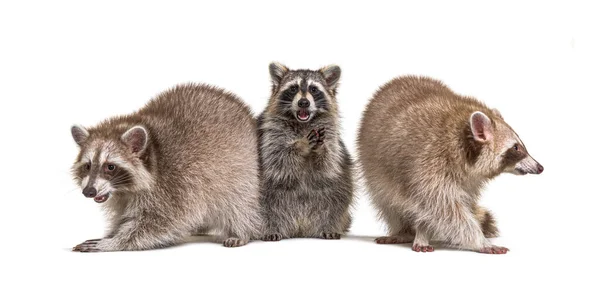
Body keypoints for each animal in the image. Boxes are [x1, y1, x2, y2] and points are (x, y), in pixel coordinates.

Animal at [69, 84, 262, 252]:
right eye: (88, 166)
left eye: (110, 167)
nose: (88, 191)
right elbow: (124, 216)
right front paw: (112, 233)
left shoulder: (176, 183)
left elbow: (161, 222)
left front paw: (115, 242)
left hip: (241, 169)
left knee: (238, 202)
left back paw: (241, 231)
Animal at [256, 62, 352, 241]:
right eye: (293, 88)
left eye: (314, 89)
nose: (303, 103)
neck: (303, 124)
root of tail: (300, 229)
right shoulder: (269, 134)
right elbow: (278, 157)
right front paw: (301, 145)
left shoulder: (332, 138)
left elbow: (328, 162)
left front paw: (321, 150)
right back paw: (269, 228)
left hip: (337, 192)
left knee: (337, 198)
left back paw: (329, 225)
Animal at [356, 75, 544, 253]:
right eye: (516, 147)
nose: (540, 167)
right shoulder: (427, 164)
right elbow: (443, 208)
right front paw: (480, 241)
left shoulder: (469, 179)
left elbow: (440, 208)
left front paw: (424, 230)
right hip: (373, 167)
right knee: (386, 201)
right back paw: (405, 231)